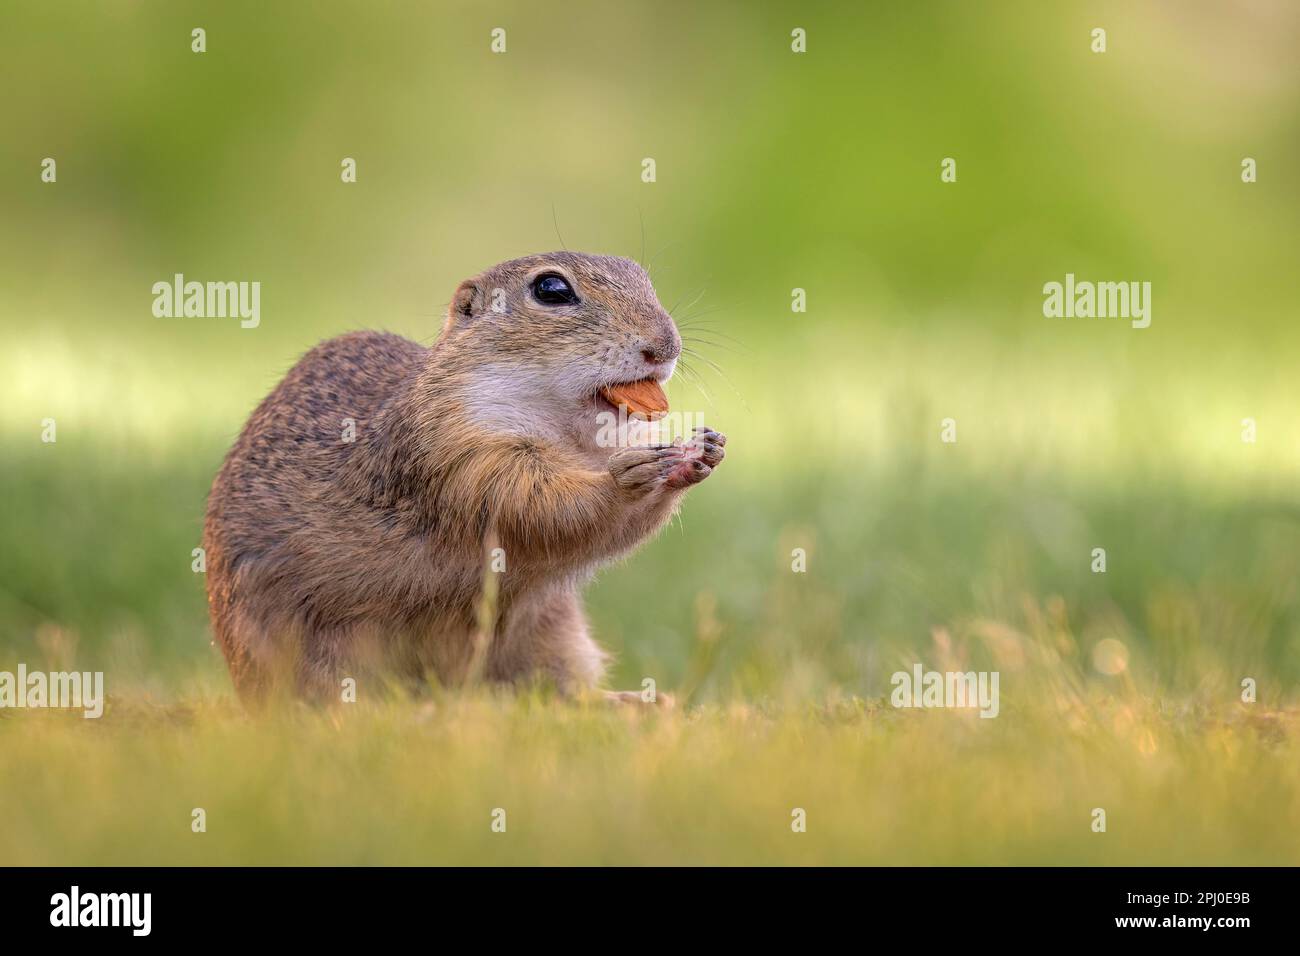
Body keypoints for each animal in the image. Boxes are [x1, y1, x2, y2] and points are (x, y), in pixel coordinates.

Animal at [202, 252, 726, 703]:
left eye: (642, 276)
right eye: (551, 289)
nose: (665, 346)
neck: (573, 439)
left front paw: (698, 455)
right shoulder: (466, 457)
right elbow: (543, 508)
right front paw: (628, 477)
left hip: (555, 630)